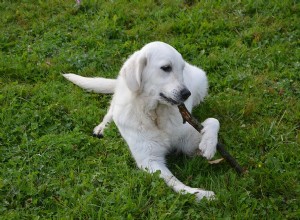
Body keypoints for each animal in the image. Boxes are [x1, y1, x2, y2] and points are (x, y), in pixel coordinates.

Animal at [62, 41, 220, 201]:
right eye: (166, 68)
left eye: (181, 69)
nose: (187, 94)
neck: (155, 114)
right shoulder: (149, 160)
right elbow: (175, 182)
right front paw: (199, 194)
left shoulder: (187, 143)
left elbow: (214, 121)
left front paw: (209, 144)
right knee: (112, 107)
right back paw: (103, 127)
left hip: (201, 82)